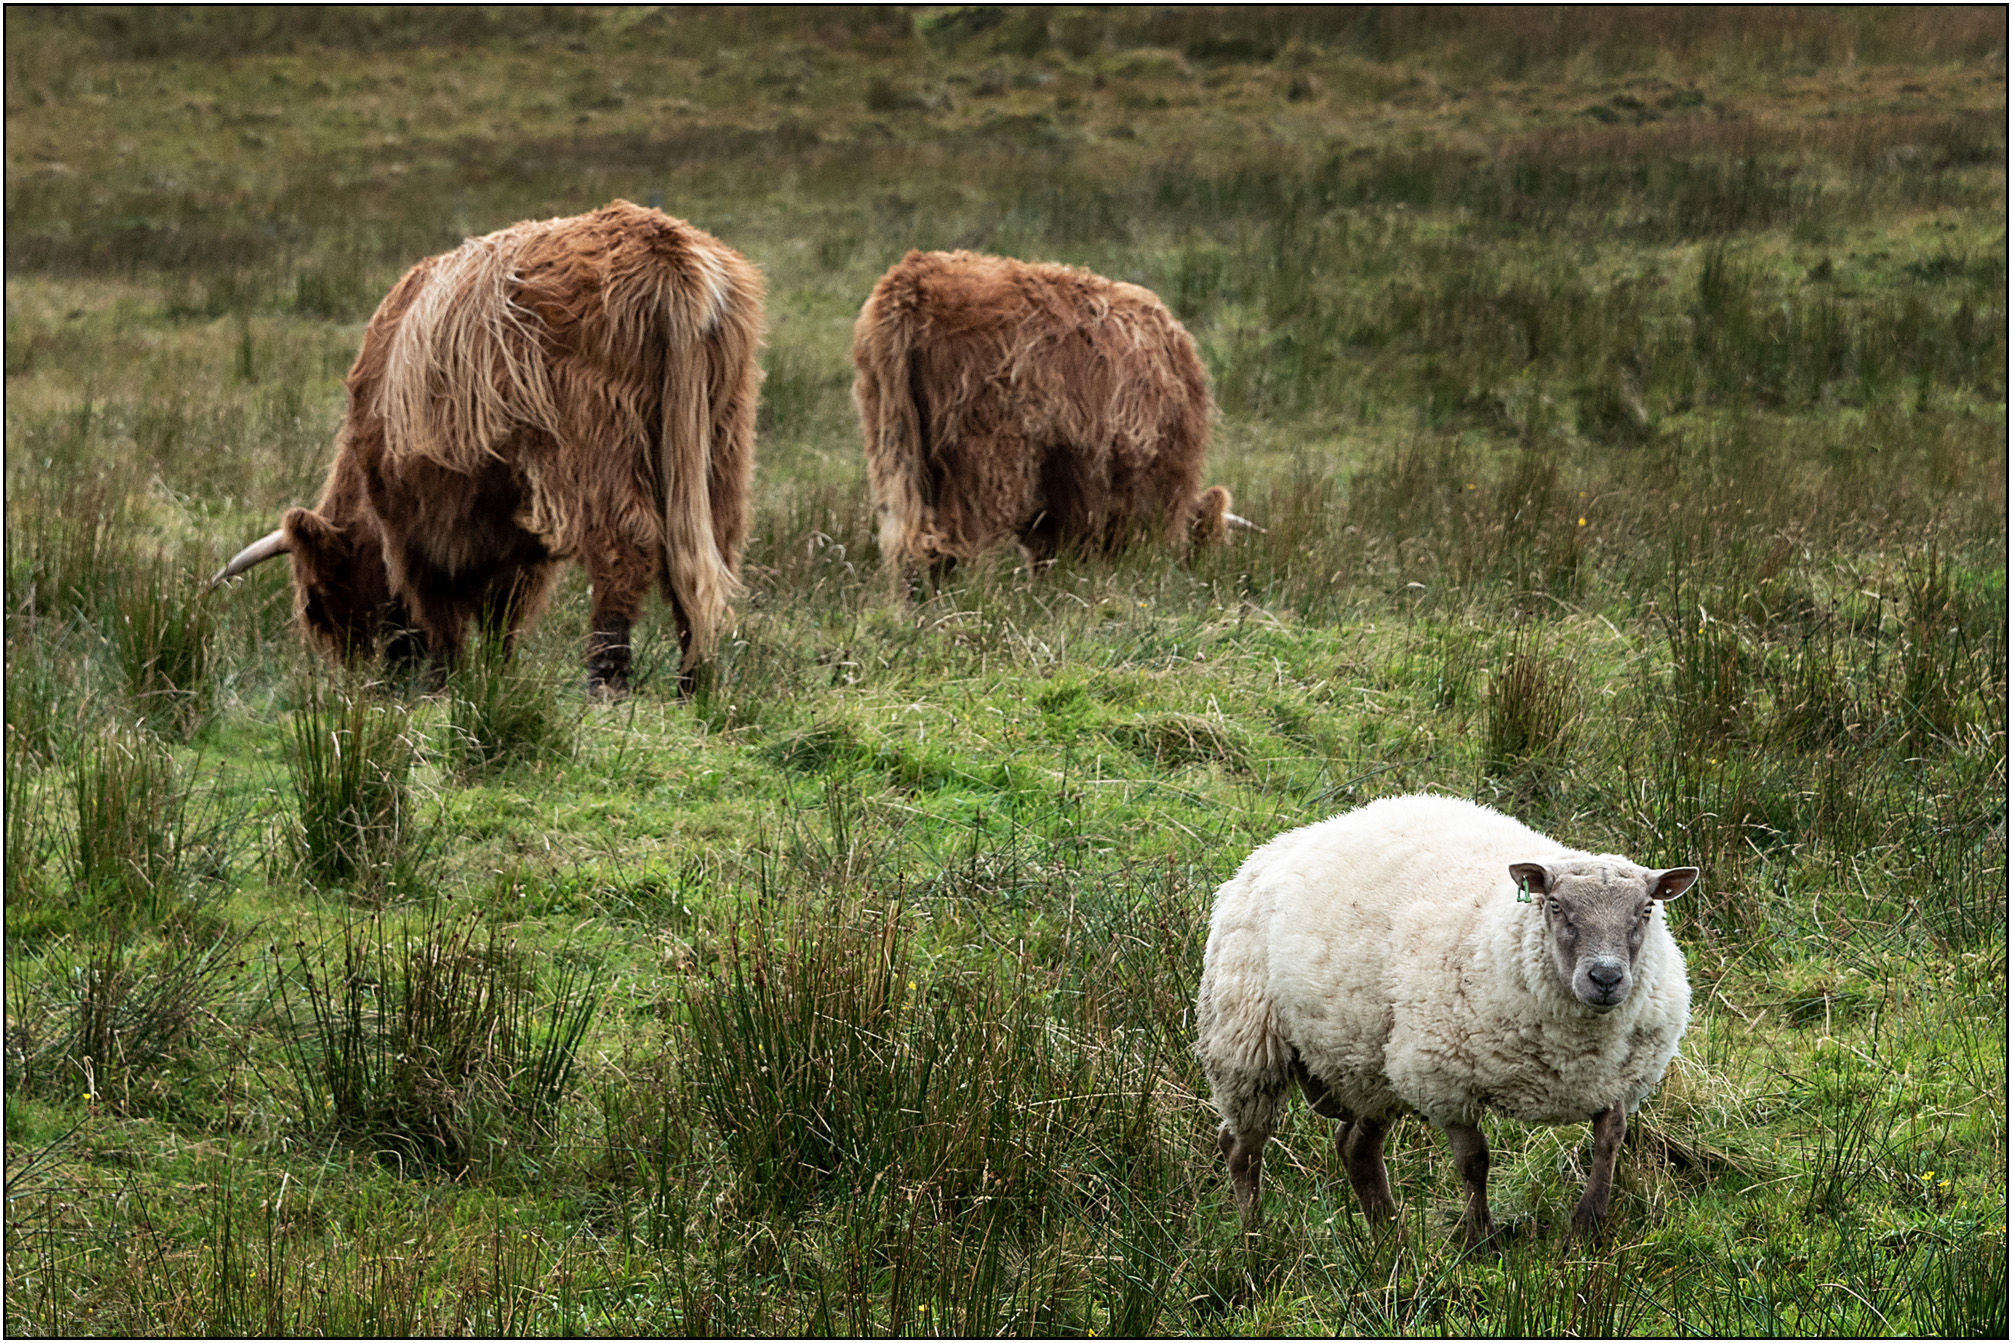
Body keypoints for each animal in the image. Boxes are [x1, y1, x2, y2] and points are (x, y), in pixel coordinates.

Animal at [1195, 793, 1698, 1248]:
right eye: (1555, 905)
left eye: (1646, 909)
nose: (1606, 977)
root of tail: (1275, 846)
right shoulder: (1445, 1080)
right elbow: (1475, 1162)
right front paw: (1482, 1242)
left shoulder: (1616, 1080)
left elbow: (1609, 1144)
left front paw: (1586, 1230)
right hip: (1246, 1043)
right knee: (1241, 1148)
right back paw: (1255, 1237)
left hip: (1369, 1063)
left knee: (1356, 1147)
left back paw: (1390, 1239)